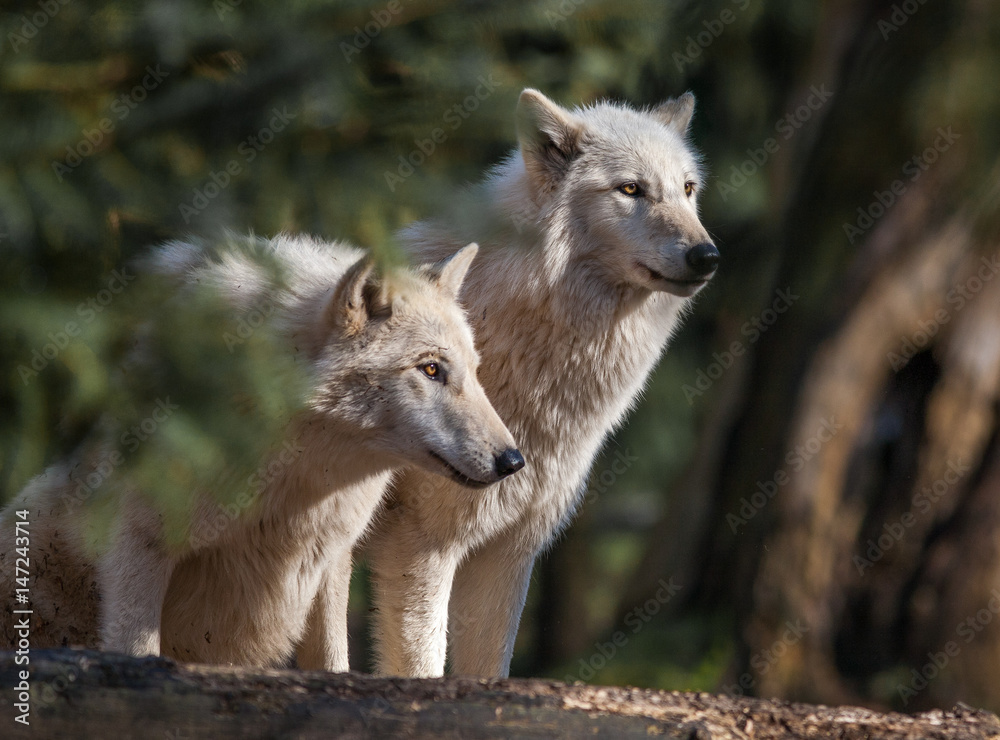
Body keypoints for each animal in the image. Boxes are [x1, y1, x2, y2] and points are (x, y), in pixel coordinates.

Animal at [0, 234, 524, 671]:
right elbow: (140, 653)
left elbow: (334, 662)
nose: (514, 462)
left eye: (474, 370)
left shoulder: (330, 562)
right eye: (431, 369)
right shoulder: (138, 546)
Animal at [367, 89, 719, 676]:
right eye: (630, 189)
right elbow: (422, 669)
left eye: (687, 189)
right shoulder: (422, 547)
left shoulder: (509, 550)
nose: (707, 255)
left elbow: (490, 671)